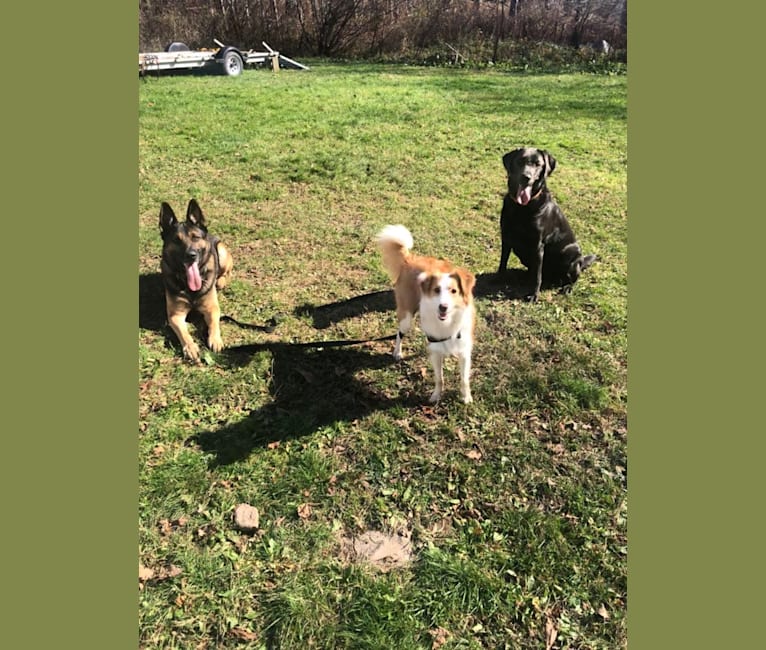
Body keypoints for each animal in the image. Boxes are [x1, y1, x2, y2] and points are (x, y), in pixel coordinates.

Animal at [160, 199, 232, 360]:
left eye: (195, 237)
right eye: (176, 240)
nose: (191, 255)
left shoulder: (212, 308)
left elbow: (214, 323)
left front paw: (215, 339)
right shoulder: (175, 315)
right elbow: (184, 333)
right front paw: (190, 347)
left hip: (222, 253)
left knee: (227, 272)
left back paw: (220, 281)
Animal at [376, 225, 476, 402]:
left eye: (454, 291)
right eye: (436, 290)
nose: (443, 307)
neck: (447, 323)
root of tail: (410, 259)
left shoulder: (464, 351)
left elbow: (464, 379)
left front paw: (466, 398)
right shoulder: (436, 352)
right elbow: (439, 378)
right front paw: (436, 396)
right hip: (406, 317)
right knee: (399, 333)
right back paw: (398, 352)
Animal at [498, 147, 600, 302]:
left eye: (538, 164)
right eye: (520, 161)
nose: (526, 177)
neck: (522, 207)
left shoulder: (537, 246)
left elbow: (537, 276)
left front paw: (534, 295)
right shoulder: (506, 236)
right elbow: (503, 262)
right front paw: (498, 279)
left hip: (570, 254)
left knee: (570, 279)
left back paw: (567, 287)